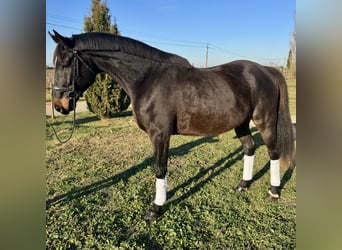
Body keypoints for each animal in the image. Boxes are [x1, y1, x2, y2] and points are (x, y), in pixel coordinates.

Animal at [49, 29, 296, 221]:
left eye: (66, 63)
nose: (59, 106)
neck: (147, 79)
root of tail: (267, 71)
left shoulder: (160, 134)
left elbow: (160, 168)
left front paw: (155, 209)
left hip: (265, 121)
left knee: (274, 153)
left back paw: (273, 192)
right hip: (242, 123)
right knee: (249, 148)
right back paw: (243, 185)